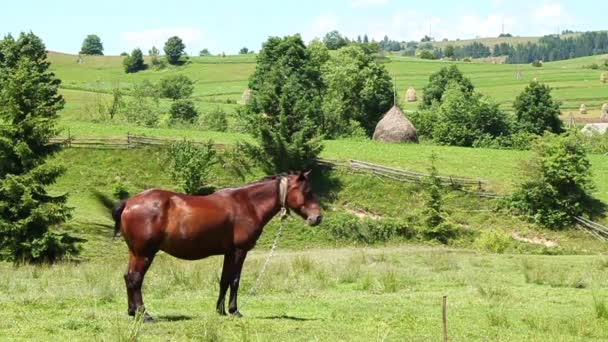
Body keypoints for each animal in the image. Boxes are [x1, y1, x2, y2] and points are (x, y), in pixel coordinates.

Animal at [97, 170, 320, 320]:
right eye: (307, 191)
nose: (317, 218)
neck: (247, 204)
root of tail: (128, 203)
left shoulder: (229, 253)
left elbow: (224, 280)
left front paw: (220, 310)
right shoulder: (239, 252)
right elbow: (235, 281)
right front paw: (234, 310)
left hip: (134, 252)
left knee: (128, 278)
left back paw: (132, 311)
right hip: (144, 253)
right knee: (135, 279)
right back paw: (144, 314)